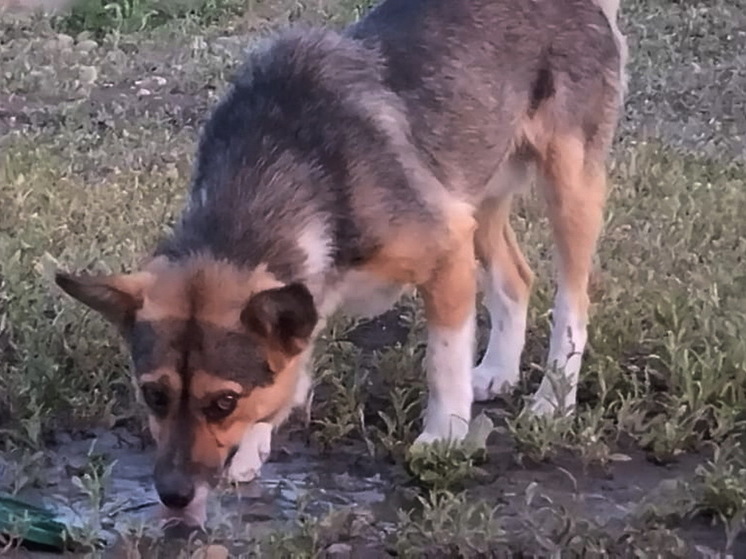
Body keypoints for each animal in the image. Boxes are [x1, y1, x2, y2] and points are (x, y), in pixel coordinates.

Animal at [52, 0, 624, 524]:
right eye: (153, 396)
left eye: (223, 403)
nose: (173, 497)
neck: (283, 163)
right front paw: (258, 441)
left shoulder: (445, 253)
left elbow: (443, 360)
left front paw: (443, 435)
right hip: (476, 192)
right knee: (516, 279)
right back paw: (499, 370)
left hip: (567, 183)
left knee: (572, 302)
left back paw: (552, 402)